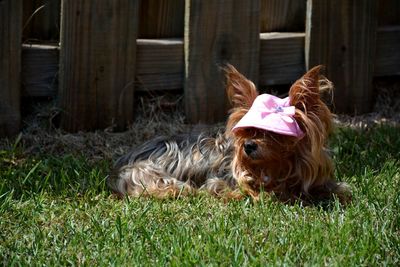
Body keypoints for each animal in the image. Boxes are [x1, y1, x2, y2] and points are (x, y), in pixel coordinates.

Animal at [108, 65, 352, 205]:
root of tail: (124, 160)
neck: (278, 168)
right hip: (146, 173)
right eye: (247, 131)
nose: (248, 146)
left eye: (274, 134)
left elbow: (335, 189)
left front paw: (337, 193)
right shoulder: (222, 182)